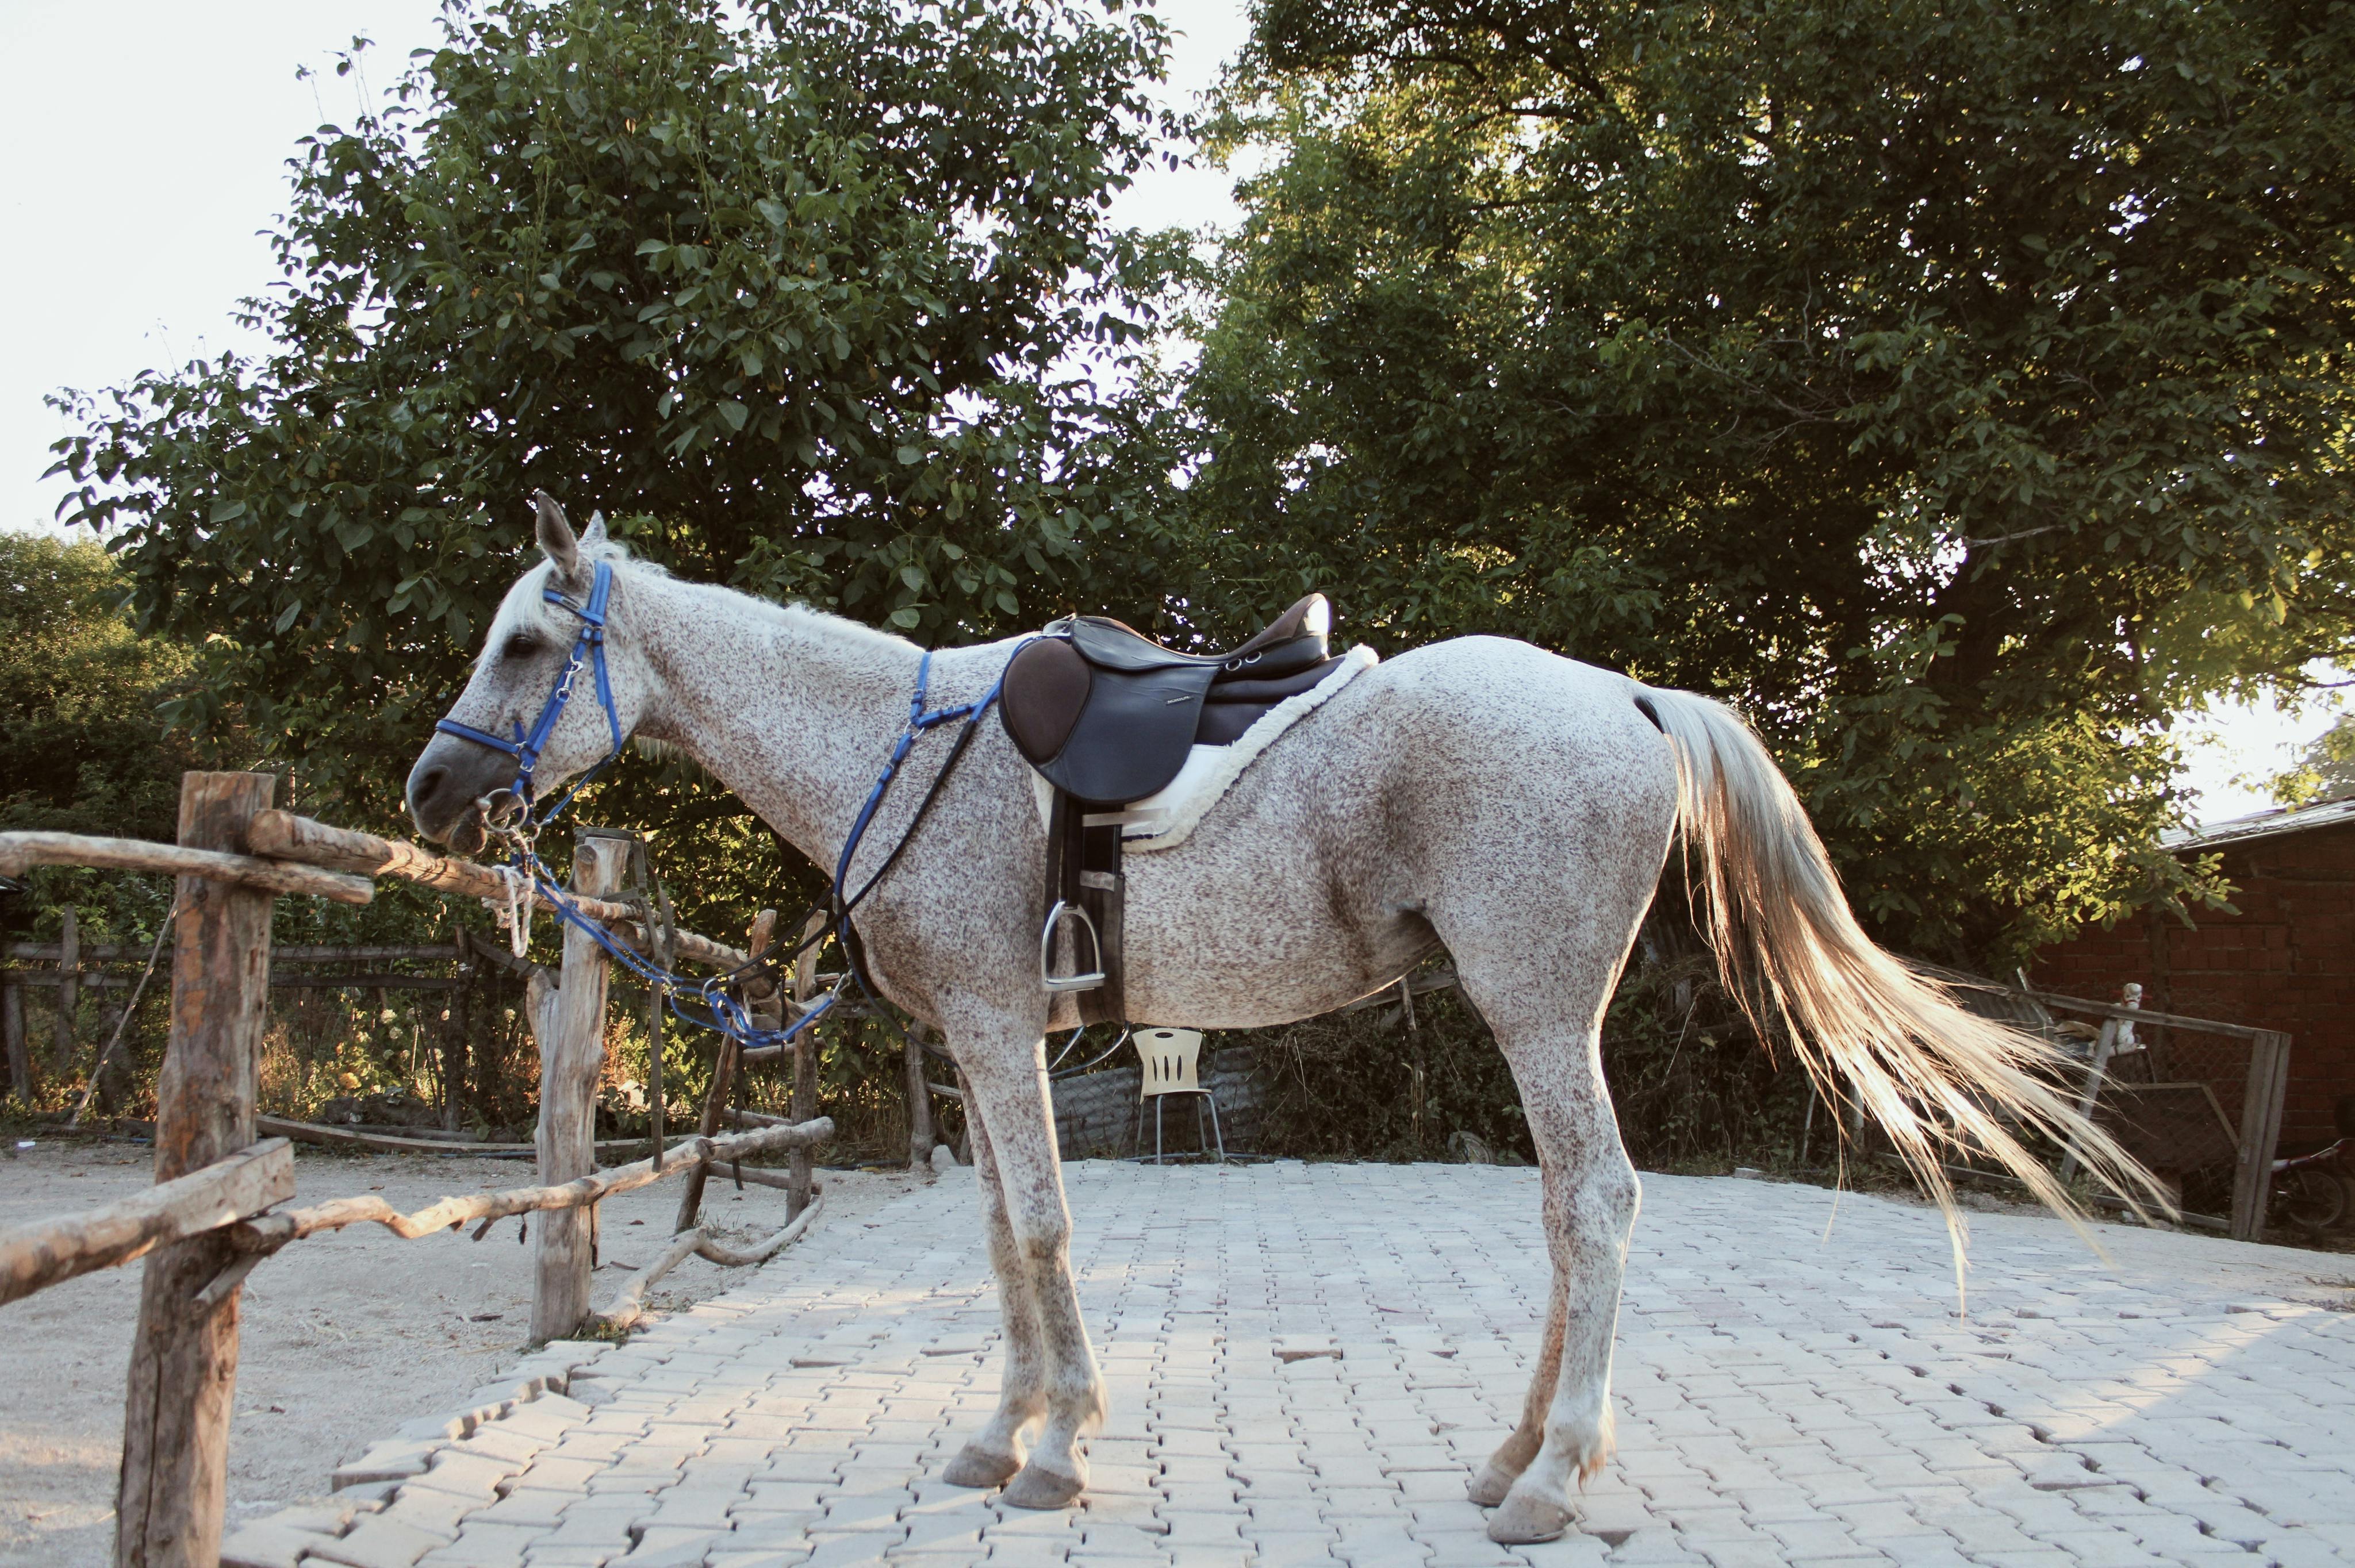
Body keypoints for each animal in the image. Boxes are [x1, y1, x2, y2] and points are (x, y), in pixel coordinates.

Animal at [405, 497, 2157, 1535]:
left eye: (530, 642)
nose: (427, 790)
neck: (897, 751)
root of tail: (1629, 694)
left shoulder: (991, 1024)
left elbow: (1042, 1230)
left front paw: (1059, 1447)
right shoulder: (984, 1044)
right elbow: (1002, 1235)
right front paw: (1001, 1432)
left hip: (1537, 1010)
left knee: (1598, 1203)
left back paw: (1554, 1477)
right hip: (1538, 1020)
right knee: (1562, 1215)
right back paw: (1515, 1454)